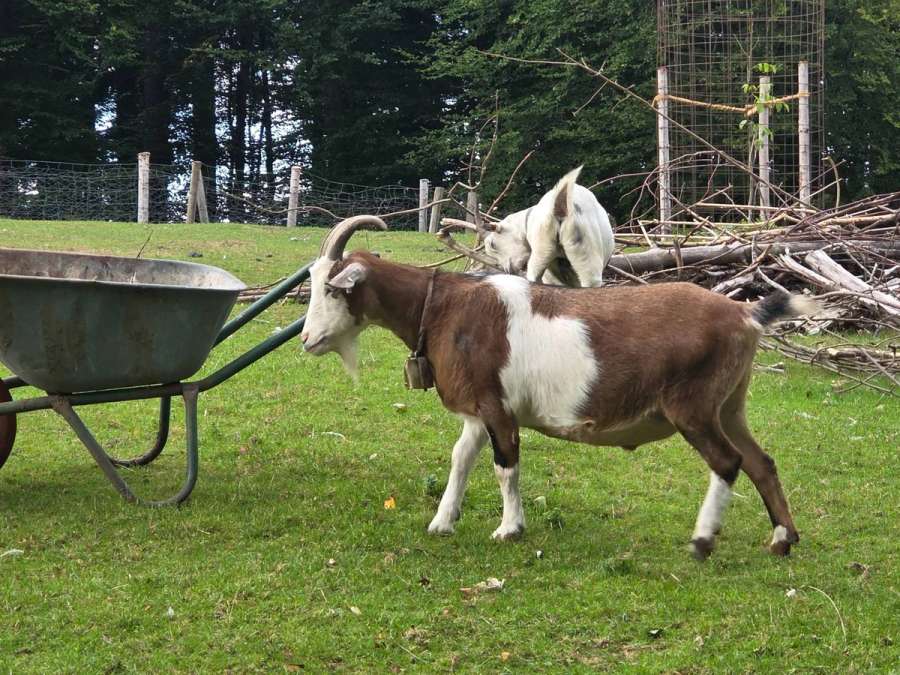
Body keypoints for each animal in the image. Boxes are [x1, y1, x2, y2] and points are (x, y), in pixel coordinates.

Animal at [301, 215, 816, 559]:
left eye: (330, 288)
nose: (306, 339)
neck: (445, 306)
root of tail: (744, 314)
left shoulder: (497, 407)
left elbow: (505, 466)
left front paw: (509, 529)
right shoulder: (477, 409)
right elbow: (460, 460)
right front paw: (442, 522)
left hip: (693, 406)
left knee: (727, 462)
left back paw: (703, 540)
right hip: (729, 404)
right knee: (761, 461)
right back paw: (782, 539)